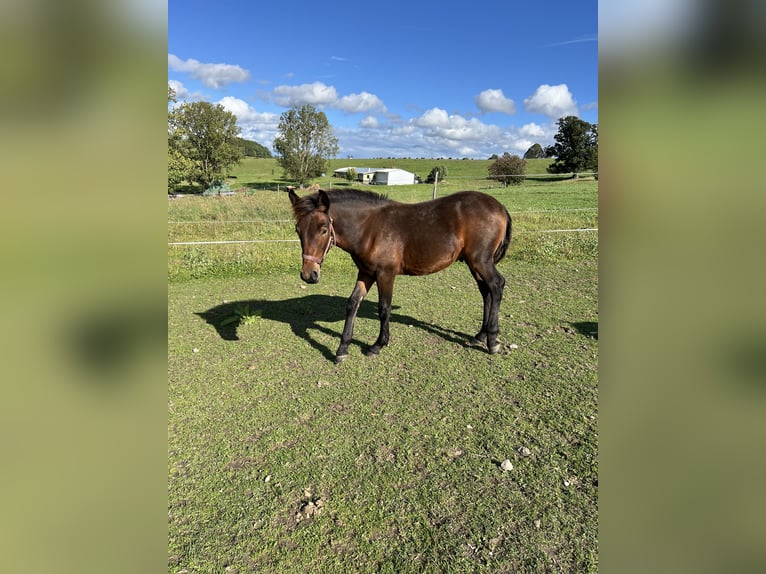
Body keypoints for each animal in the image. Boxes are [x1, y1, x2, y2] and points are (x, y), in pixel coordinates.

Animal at [288, 188, 512, 362]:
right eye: (298, 230)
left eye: (324, 229)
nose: (309, 274)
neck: (370, 228)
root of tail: (499, 206)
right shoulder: (366, 272)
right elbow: (352, 304)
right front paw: (342, 349)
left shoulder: (385, 274)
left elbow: (384, 308)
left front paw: (378, 345)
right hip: (474, 264)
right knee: (486, 292)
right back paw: (480, 335)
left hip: (481, 261)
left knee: (496, 285)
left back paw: (492, 341)